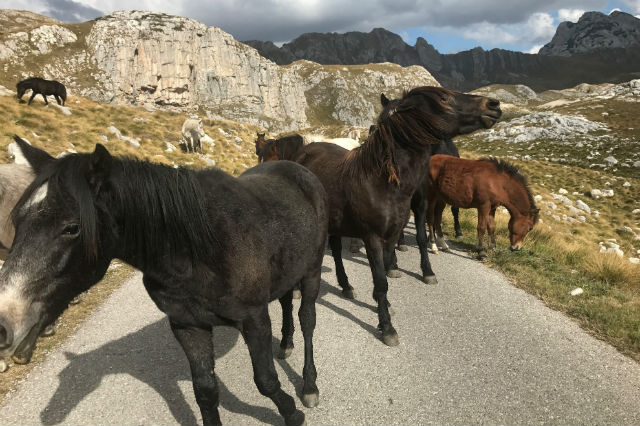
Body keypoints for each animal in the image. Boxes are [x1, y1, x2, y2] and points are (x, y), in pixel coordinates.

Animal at [0, 137, 328, 426]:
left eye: (72, 228)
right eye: (16, 220)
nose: (4, 324)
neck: (199, 248)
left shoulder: (254, 320)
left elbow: (266, 380)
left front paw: (292, 413)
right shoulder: (188, 325)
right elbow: (205, 392)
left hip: (311, 271)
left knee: (308, 320)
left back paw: (309, 386)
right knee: (286, 302)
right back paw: (285, 343)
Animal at [294, 86, 500, 346]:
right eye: (444, 97)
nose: (493, 105)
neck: (382, 181)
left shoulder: (391, 235)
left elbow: (385, 273)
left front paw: (386, 307)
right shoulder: (371, 237)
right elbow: (381, 282)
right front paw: (387, 328)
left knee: (337, 251)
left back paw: (346, 286)